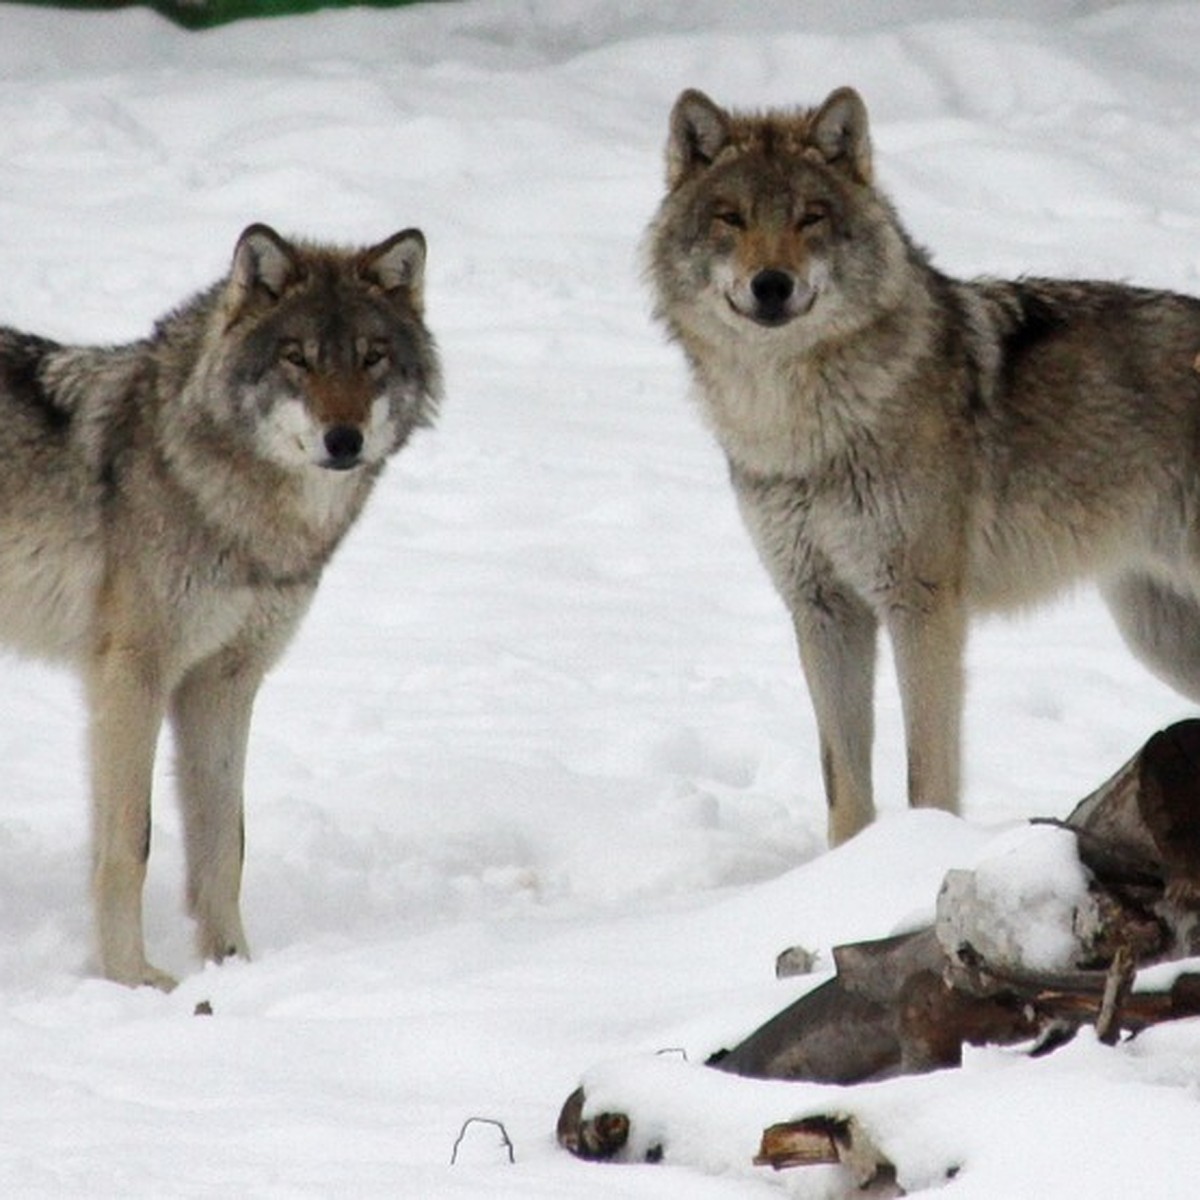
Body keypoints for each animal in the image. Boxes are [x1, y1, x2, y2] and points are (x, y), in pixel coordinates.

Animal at [0, 223, 441, 984]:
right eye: (297, 359)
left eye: (371, 357)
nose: (344, 439)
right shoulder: (133, 678)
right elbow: (131, 843)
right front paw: (133, 979)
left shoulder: (225, 682)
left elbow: (223, 844)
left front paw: (234, 968)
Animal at [652, 87, 1200, 844]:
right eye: (730, 218)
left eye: (810, 217)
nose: (772, 285)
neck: (801, 426)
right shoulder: (822, 605)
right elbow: (845, 784)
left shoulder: (921, 601)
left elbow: (926, 772)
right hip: (1158, 632)